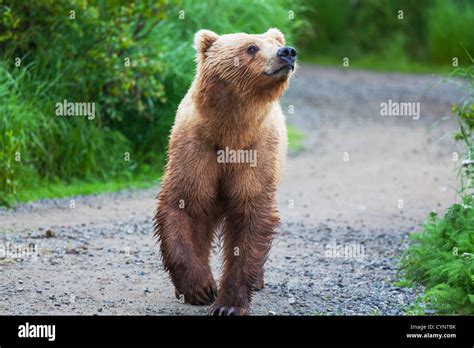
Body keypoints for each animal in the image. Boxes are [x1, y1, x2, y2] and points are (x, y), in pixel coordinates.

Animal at [154, 27, 296, 316]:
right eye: (251, 47)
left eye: (275, 42)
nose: (287, 52)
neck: (230, 131)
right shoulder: (196, 148)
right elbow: (183, 204)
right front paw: (200, 287)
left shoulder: (256, 151)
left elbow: (250, 216)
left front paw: (228, 304)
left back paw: (258, 280)